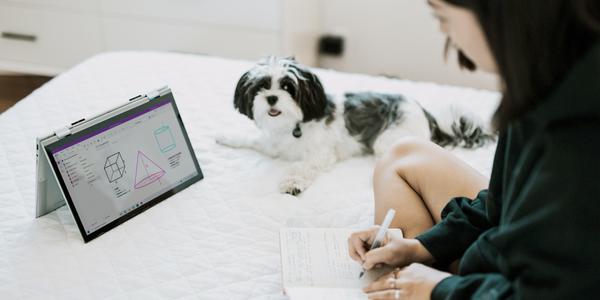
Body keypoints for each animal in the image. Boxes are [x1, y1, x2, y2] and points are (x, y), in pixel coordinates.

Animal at [218, 56, 494, 196]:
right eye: (261, 87)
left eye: (288, 87)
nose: (272, 98)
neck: (290, 126)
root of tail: (426, 114)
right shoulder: (271, 145)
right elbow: (252, 140)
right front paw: (226, 137)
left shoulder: (320, 154)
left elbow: (301, 166)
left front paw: (293, 182)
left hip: (388, 139)